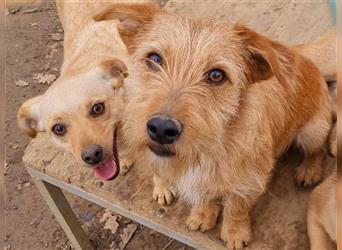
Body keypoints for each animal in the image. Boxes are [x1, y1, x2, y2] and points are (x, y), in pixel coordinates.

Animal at [95, 3, 332, 248]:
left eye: (217, 75)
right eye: (154, 58)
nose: (161, 128)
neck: (211, 147)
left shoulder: (250, 182)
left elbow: (237, 207)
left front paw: (235, 232)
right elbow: (206, 196)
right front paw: (203, 215)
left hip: (312, 131)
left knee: (319, 149)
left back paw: (310, 170)